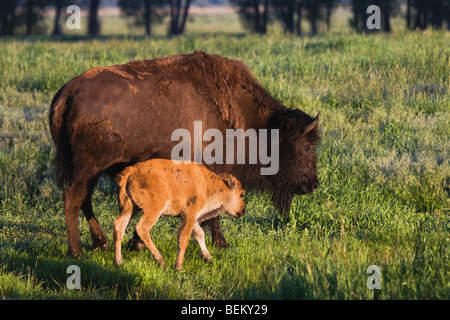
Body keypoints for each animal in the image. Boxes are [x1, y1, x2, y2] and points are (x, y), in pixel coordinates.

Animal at [114, 159, 244, 268]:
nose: (243, 211)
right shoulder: (189, 215)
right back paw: (161, 261)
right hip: (154, 209)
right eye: (241, 194)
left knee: (119, 226)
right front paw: (179, 267)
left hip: (130, 208)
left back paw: (119, 262)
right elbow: (184, 238)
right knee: (142, 228)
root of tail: (132, 170)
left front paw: (208, 258)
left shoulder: (192, 218)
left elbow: (199, 234)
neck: (207, 185)